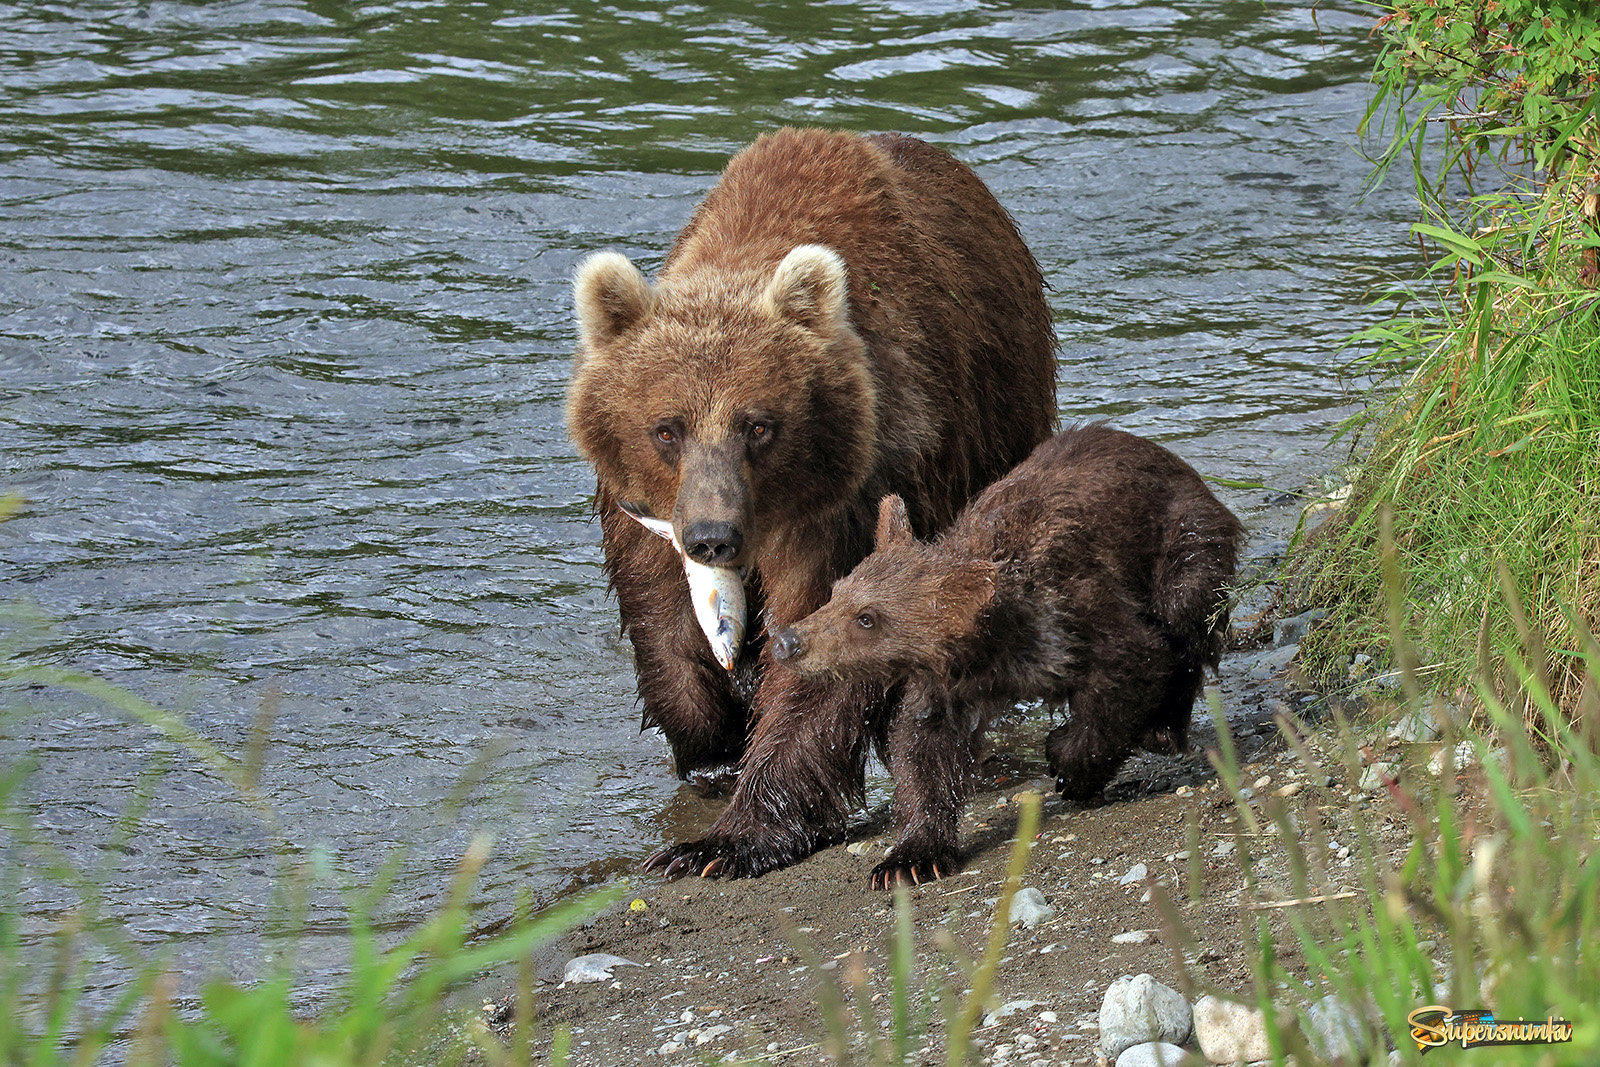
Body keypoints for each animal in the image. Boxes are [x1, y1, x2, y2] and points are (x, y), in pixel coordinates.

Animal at [569, 127, 1056, 876]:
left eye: (758, 425)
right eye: (666, 428)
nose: (712, 535)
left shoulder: (851, 498)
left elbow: (829, 638)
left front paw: (725, 840)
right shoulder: (643, 514)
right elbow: (663, 620)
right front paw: (711, 753)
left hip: (1001, 422)